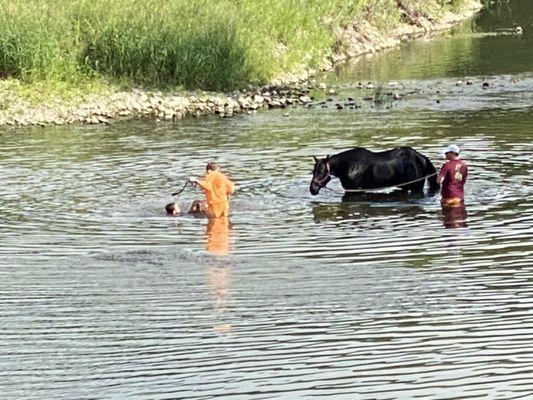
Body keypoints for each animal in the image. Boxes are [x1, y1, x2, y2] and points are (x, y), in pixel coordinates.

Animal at [310, 148, 438, 196]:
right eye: (313, 171)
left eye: (322, 171)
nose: (312, 189)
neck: (348, 166)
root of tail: (422, 157)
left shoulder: (357, 191)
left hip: (417, 187)